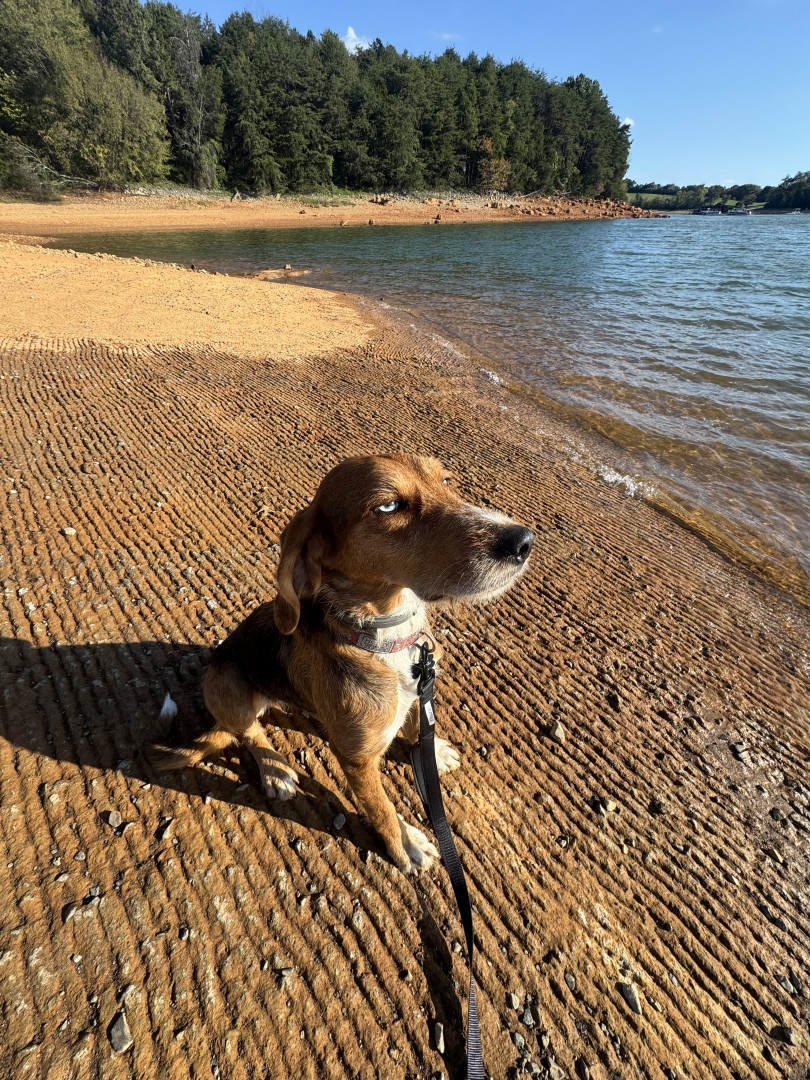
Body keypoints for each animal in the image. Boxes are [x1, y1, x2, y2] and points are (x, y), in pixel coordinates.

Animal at [152, 454, 533, 872]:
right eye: (388, 506)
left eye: (446, 480)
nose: (522, 541)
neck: (385, 638)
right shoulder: (356, 759)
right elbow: (381, 806)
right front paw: (404, 842)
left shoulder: (419, 692)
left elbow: (418, 728)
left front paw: (432, 750)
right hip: (224, 678)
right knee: (248, 731)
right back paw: (274, 769)